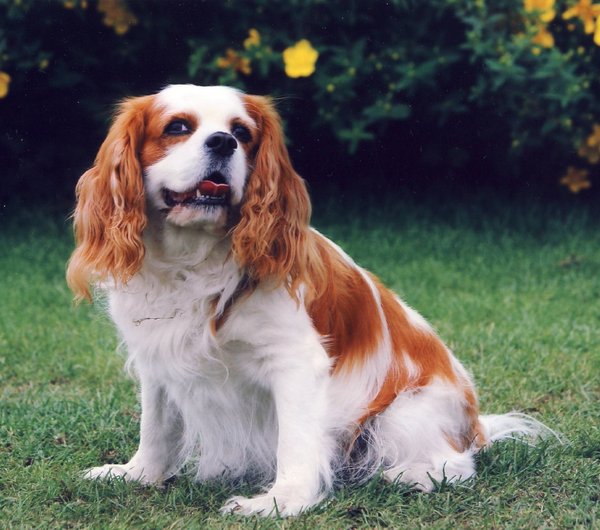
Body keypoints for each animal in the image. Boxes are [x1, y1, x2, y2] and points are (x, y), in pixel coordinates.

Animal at [68, 84, 548, 512]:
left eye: (242, 133)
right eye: (177, 127)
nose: (223, 142)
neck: (193, 260)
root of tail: (476, 425)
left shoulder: (295, 363)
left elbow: (295, 442)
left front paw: (281, 502)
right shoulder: (157, 359)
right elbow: (156, 428)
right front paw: (137, 474)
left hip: (403, 415)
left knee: (458, 463)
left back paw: (411, 474)